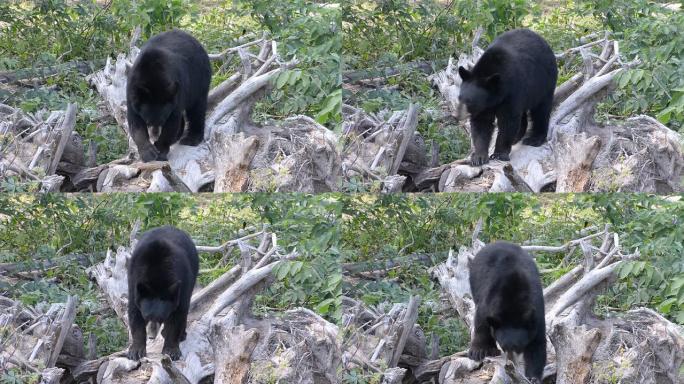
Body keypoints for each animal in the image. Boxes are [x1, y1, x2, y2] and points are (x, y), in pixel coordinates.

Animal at [125, 29, 211, 162]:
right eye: (148, 120)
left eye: (162, 120)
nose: (155, 134)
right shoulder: (132, 94)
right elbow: (135, 123)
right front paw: (148, 153)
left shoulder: (176, 91)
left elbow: (171, 123)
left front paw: (160, 150)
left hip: (199, 78)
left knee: (197, 109)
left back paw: (191, 138)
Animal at [127, 225, 199, 360]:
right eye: (146, 316)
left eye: (161, 317)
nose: (151, 336)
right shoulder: (134, 279)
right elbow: (134, 311)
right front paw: (136, 350)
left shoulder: (183, 282)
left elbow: (178, 313)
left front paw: (171, 350)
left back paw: (181, 334)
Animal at [460, 28, 556, 164]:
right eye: (460, 98)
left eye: (470, 100)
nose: (459, 116)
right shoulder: (485, 107)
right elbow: (481, 124)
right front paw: (479, 157)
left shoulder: (512, 90)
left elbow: (508, 120)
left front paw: (499, 154)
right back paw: (517, 137)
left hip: (544, 81)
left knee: (541, 110)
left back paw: (535, 138)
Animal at [468, 242, 548, 382]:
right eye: (503, 346)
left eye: (518, 346)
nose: (510, 363)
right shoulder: (489, 301)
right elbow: (481, 321)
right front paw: (478, 351)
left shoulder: (536, 313)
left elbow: (537, 343)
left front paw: (533, 377)